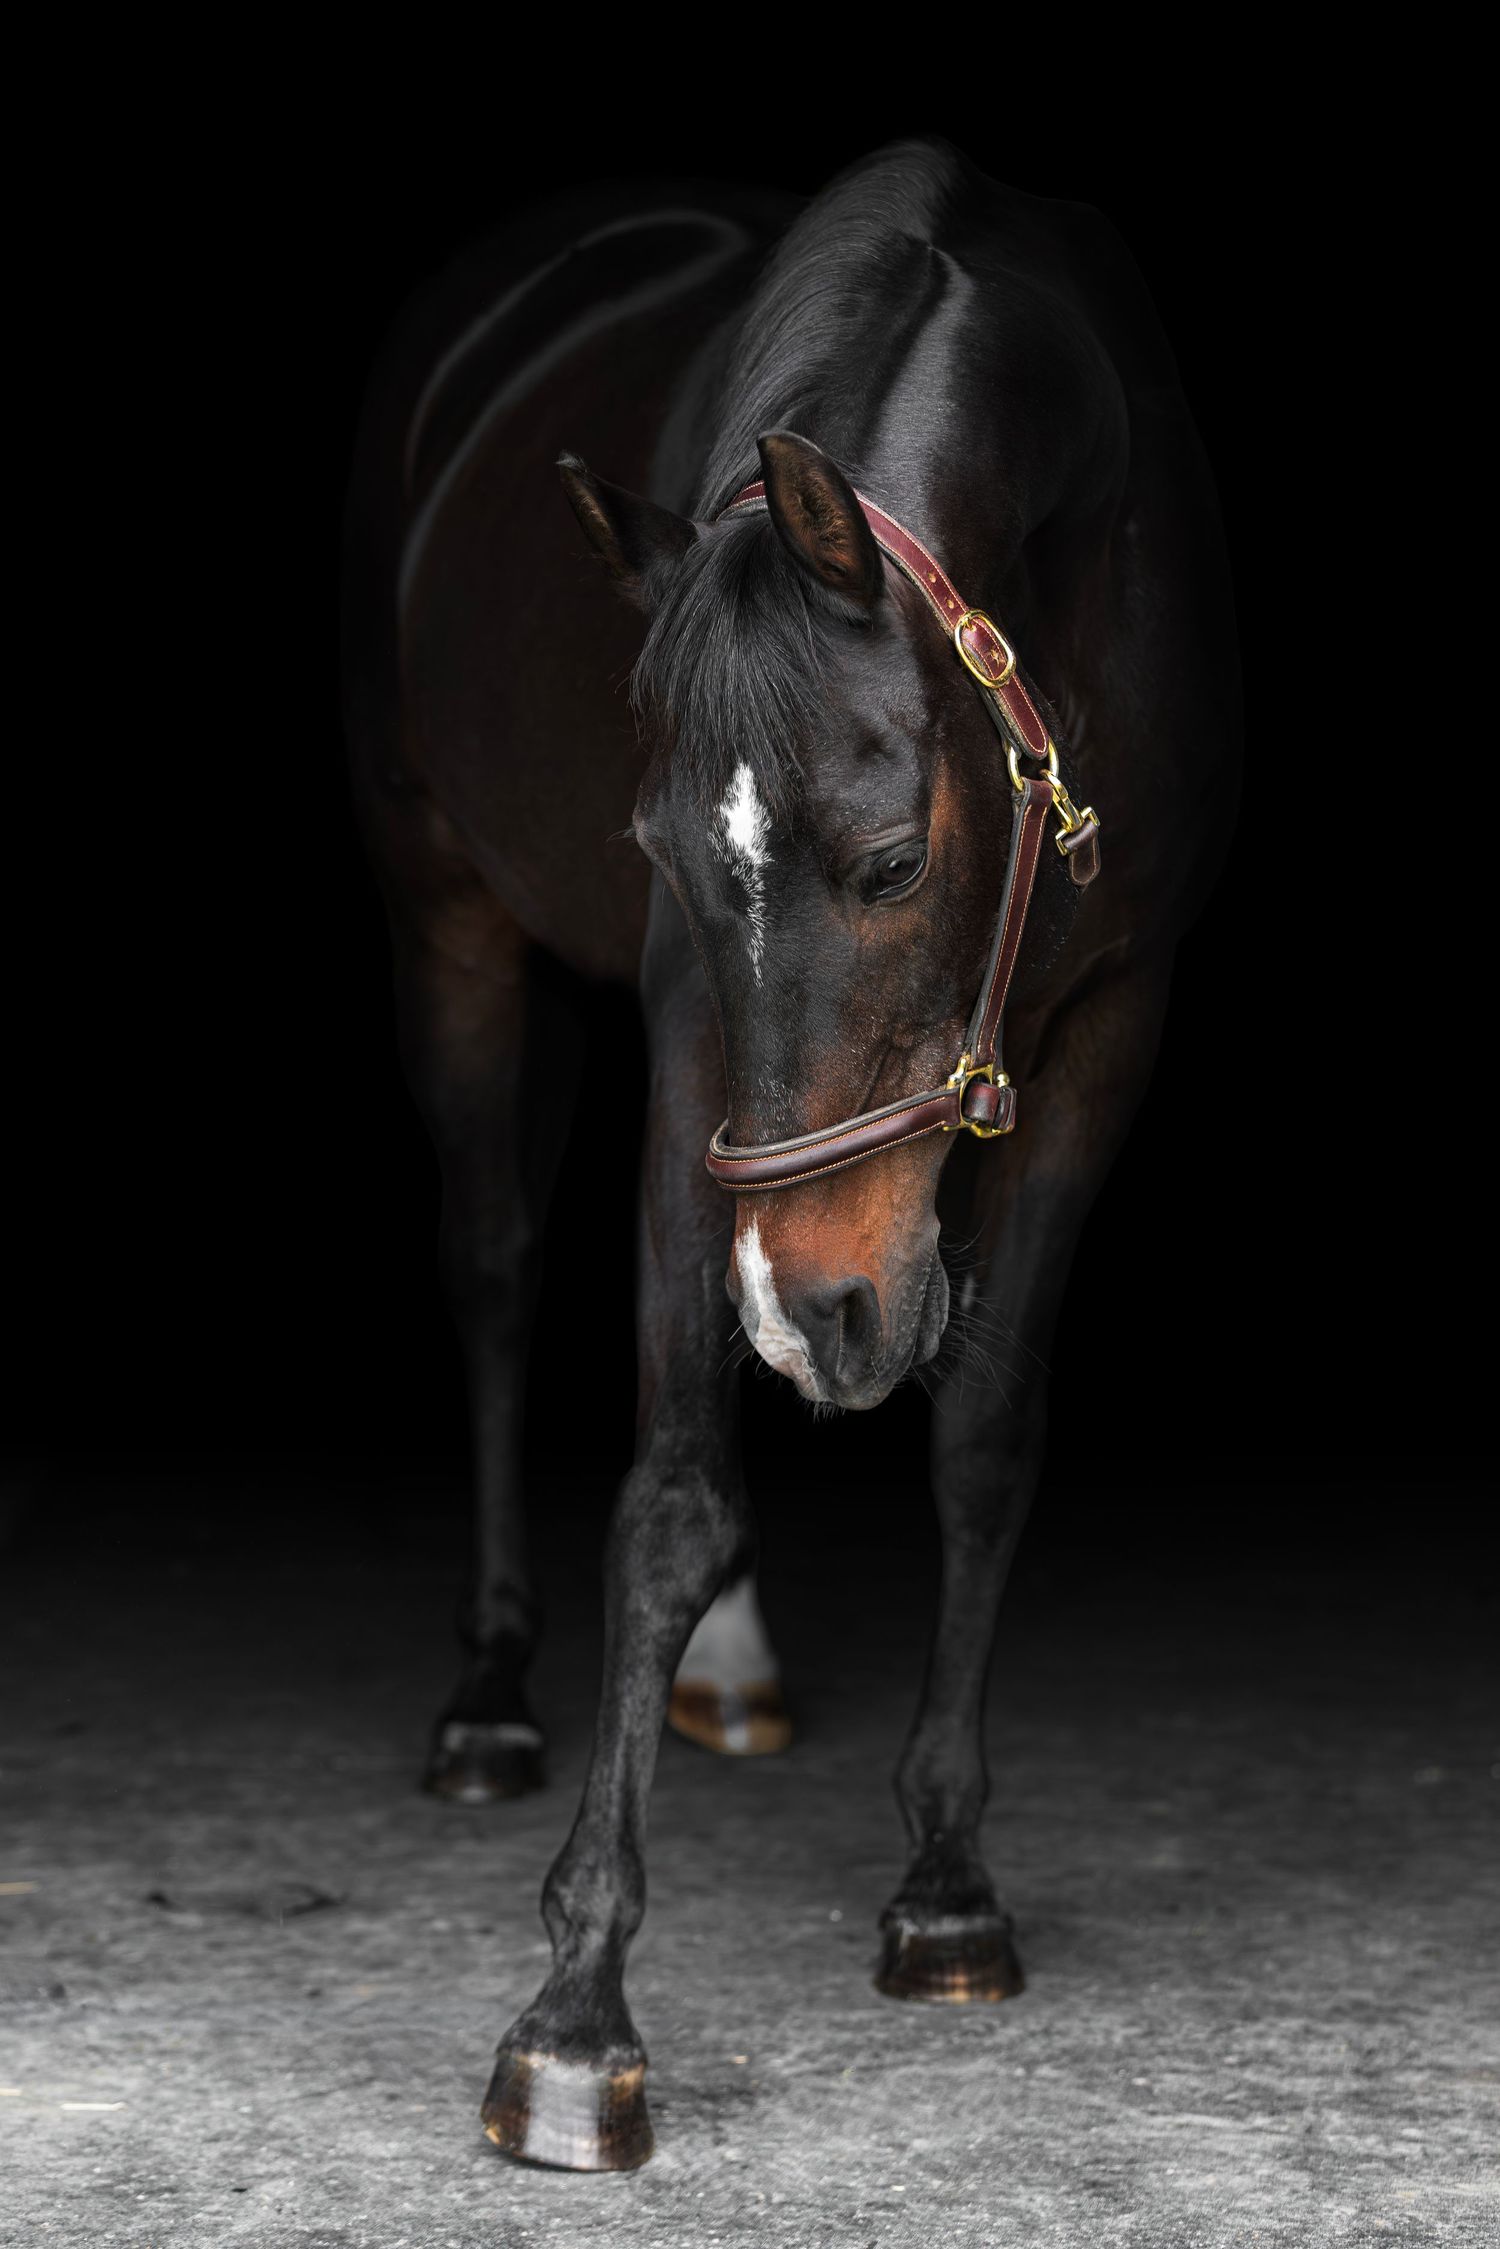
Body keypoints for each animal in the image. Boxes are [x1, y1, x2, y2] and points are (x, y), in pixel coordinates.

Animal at [341, 137, 1240, 2172]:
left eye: (895, 861)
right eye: (669, 856)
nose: (817, 1309)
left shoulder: (1108, 1025)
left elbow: (985, 1440)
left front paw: (949, 1887)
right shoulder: (695, 1024)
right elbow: (671, 1490)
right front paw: (578, 2011)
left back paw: (733, 1668)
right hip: (449, 910)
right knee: (496, 1269)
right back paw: (492, 1695)